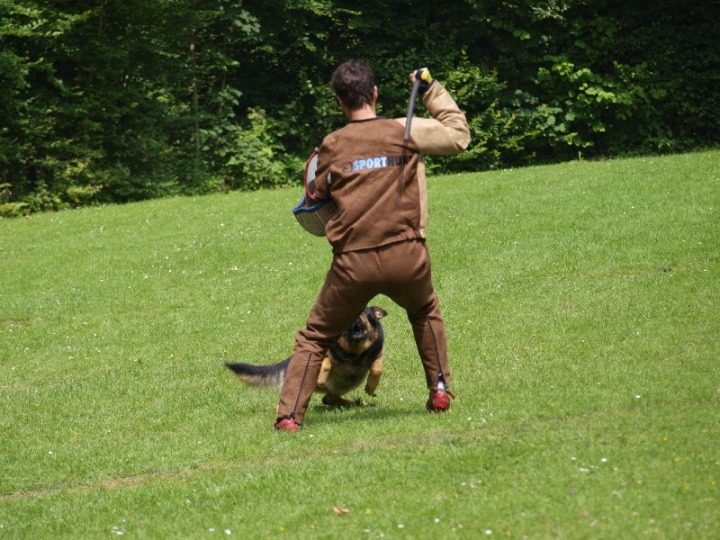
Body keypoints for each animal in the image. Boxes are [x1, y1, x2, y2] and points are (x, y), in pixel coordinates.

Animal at [229, 308, 388, 404]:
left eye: (364, 313)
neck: (352, 352)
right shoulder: (323, 354)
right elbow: (327, 362)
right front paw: (321, 378)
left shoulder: (376, 354)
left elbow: (377, 367)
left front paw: (371, 387)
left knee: (328, 399)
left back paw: (356, 403)